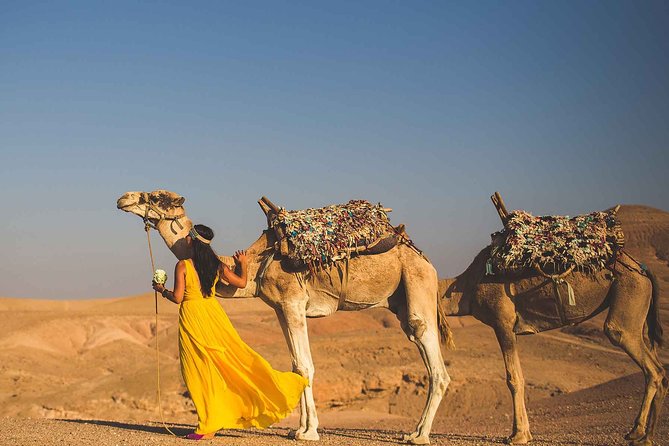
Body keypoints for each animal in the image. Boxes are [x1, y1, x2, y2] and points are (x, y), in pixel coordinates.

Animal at [117, 189, 454, 444]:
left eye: (157, 196)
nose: (123, 198)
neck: (257, 263)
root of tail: (425, 258)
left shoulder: (293, 302)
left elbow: (305, 366)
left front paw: (309, 433)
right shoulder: (281, 308)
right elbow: (296, 365)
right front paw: (299, 428)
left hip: (417, 282)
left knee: (432, 356)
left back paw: (419, 436)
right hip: (400, 299)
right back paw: (416, 431)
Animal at [437, 239, 666, 445]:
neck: (466, 287)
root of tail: (643, 270)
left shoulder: (502, 322)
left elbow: (513, 379)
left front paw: (517, 436)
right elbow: (519, 376)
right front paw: (525, 433)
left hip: (629, 294)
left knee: (646, 362)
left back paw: (637, 432)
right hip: (639, 310)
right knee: (659, 368)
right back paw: (648, 436)